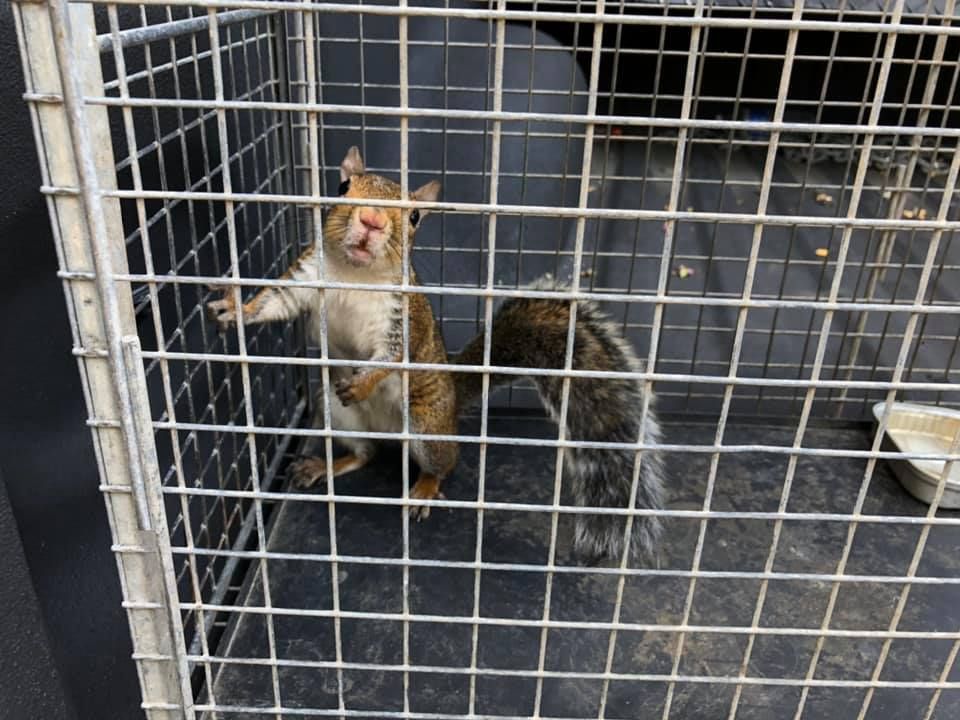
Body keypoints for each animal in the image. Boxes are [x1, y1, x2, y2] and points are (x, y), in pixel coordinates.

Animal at [207, 146, 665, 562]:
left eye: (414, 218)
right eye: (342, 187)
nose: (372, 221)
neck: (358, 274)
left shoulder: (403, 320)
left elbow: (392, 357)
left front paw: (365, 381)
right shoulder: (306, 276)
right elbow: (273, 303)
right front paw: (234, 308)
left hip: (426, 426)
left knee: (443, 463)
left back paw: (424, 488)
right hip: (335, 411)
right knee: (364, 453)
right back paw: (326, 465)